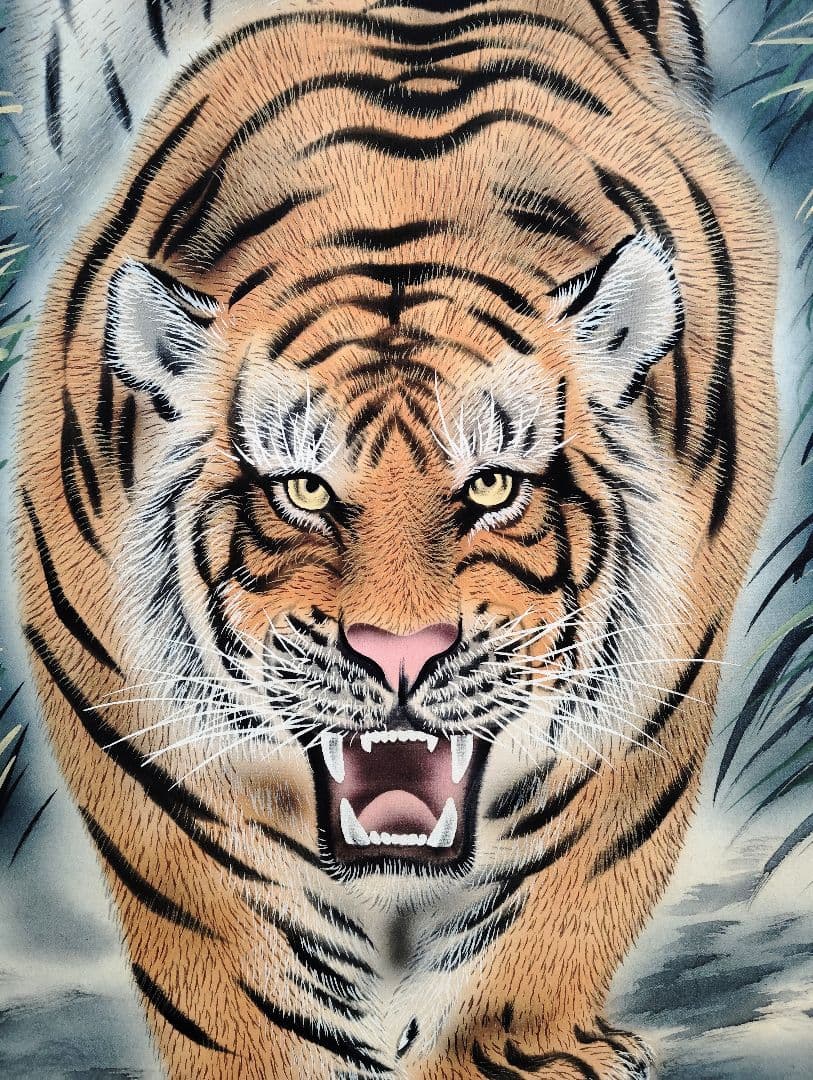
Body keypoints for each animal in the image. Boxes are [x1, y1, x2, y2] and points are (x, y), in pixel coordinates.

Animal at [13, 0, 777, 1077]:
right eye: (303, 490)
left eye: (492, 486)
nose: (401, 654)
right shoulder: (130, 723)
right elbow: (238, 956)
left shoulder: (651, 697)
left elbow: (560, 891)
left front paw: (518, 1051)